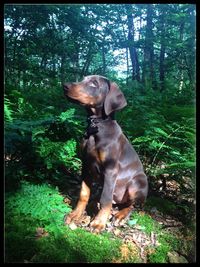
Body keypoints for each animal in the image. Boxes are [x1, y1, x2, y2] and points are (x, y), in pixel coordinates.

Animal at [63, 75, 148, 232]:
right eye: (83, 79)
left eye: (93, 84)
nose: (64, 85)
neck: (96, 126)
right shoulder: (86, 165)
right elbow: (84, 193)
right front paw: (76, 214)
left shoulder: (110, 169)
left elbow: (106, 199)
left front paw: (99, 222)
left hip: (138, 182)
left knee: (131, 205)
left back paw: (120, 215)